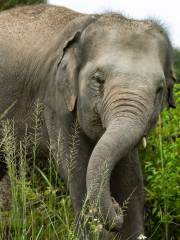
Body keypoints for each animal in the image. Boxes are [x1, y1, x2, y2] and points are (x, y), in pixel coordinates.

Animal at [0, 4, 176, 240]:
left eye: (159, 89)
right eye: (98, 80)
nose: (115, 205)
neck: (86, 24)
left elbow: (130, 177)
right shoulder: (56, 99)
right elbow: (78, 169)